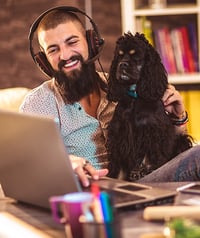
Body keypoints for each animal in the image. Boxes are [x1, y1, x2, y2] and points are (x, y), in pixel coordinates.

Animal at [107, 31, 193, 180]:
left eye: (136, 56)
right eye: (120, 55)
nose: (122, 65)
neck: (134, 97)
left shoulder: (152, 132)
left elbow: (149, 158)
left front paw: (144, 171)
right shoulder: (118, 135)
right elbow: (118, 166)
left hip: (181, 140)